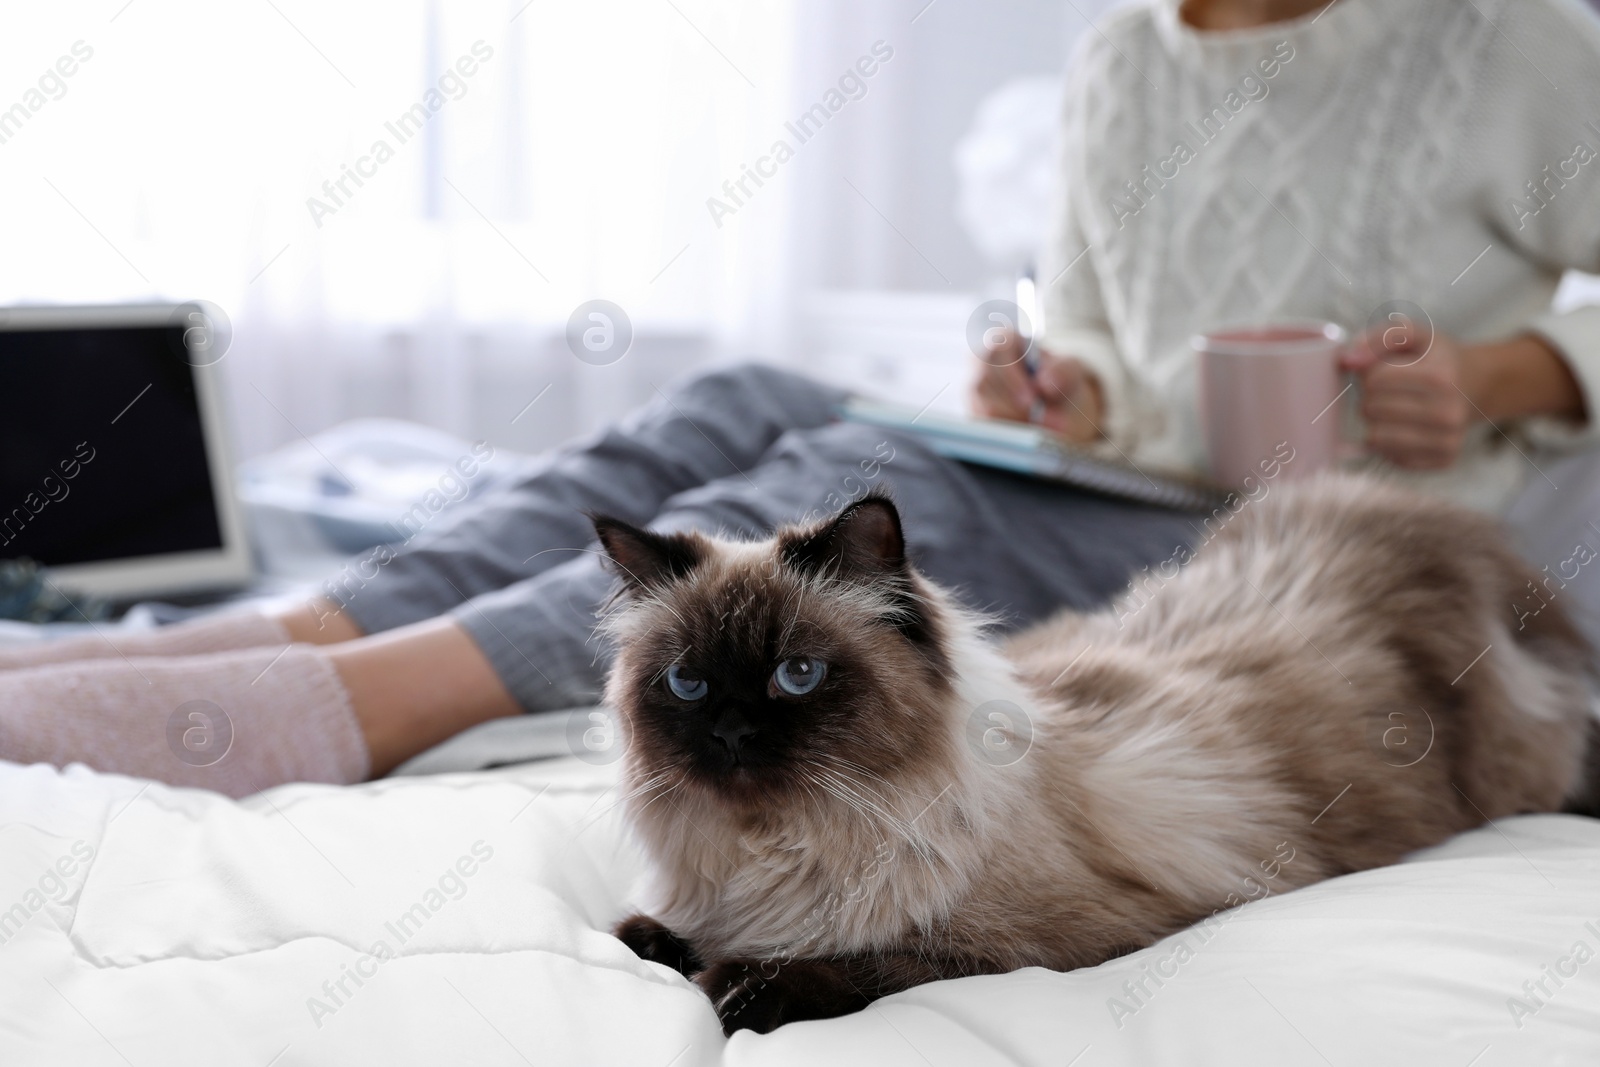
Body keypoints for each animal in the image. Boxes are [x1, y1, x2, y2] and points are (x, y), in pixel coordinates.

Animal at [592, 476, 1600, 1036]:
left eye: (796, 675)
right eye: (687, 683)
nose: (729, 736)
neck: (779, 845)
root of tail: (1434, 517)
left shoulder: (1055, 943)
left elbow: (863, 959)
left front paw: (733, 985)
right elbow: (648, 932)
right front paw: (655, 944)